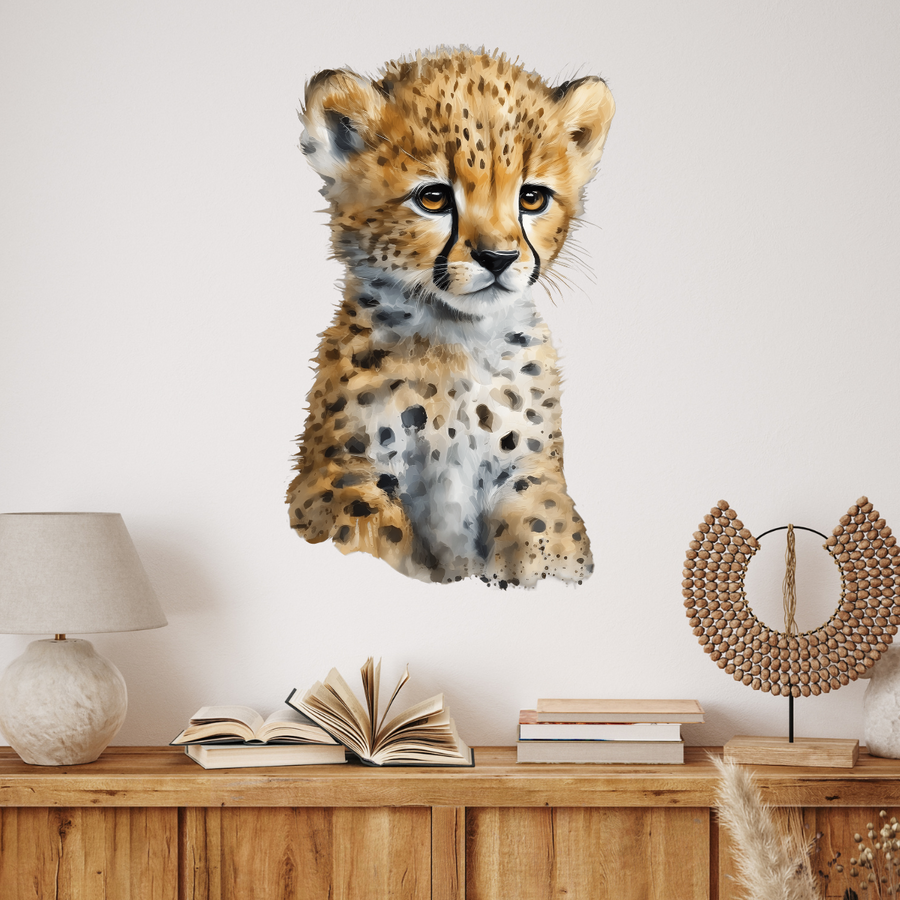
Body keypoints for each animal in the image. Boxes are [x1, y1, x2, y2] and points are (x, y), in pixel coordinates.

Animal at [286, 47, 615, 588]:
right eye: (434, 197)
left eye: (532, 198)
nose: (498, 258)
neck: (454, 340)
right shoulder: (338, 476)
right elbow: (370, 532)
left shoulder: (530, 472)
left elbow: (546, 531)